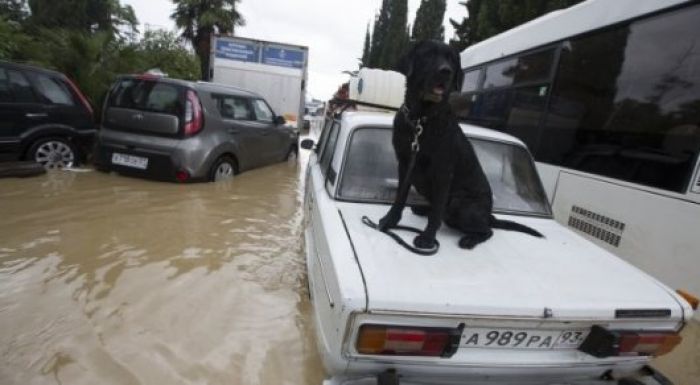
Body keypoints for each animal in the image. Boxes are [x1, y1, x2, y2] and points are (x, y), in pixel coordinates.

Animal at [378, 39, 540, 249]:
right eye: (428, 54)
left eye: (452, 60)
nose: (445, 71)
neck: (421, 119)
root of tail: (488, 215)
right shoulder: (405, 163)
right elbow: (400, 197)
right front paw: (389, 221)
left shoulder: (443, 171)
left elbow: (437, 210)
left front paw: (428, 238)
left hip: (458, 202)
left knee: (487, 230)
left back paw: (469, 239)